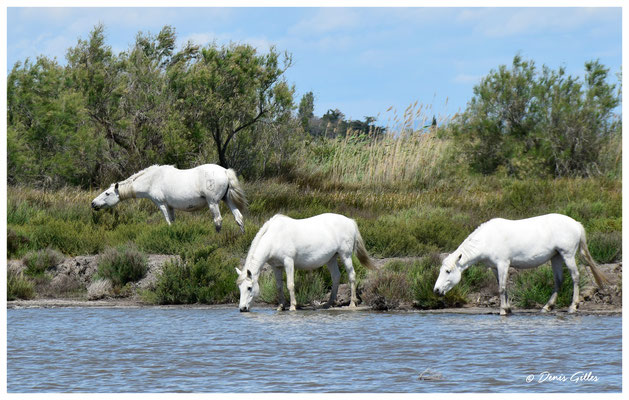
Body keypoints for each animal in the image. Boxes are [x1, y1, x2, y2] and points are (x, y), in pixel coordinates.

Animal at [91, 162, 248, 231]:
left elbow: (168, 221)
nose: (93, 203)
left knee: (218, 220)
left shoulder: (162, 205)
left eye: (107, 193)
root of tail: (225, 171)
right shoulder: (171, 207)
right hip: (227, 200)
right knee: (239, 217)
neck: (153, 179)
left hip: (213, 202)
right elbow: (173, 221)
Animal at [234, 212, 372, 312]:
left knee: (351, 276)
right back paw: (328, 304)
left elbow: (290, 284)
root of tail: (350, 221)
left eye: (249, 288)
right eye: (239, 288)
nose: (242, 308)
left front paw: (292, 306)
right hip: (331, 258)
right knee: (336, 277)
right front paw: (280, 306)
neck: (274, 238)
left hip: (345, 255)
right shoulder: (276, 266)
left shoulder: (288, 262)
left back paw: (352, 303)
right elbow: (279, 286)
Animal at [434, 214, 604, 314]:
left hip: (567, 255)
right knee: (558, 281)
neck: (487, 239)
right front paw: (508, 308)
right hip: (556, 257)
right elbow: (503, 286)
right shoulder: (495, 268)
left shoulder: (503, 264)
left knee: (575, 277)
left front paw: (503, 310)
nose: (436, 290)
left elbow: (502, 288)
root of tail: (576, 223)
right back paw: (547, 307)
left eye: (448, 271)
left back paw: (573, 306)